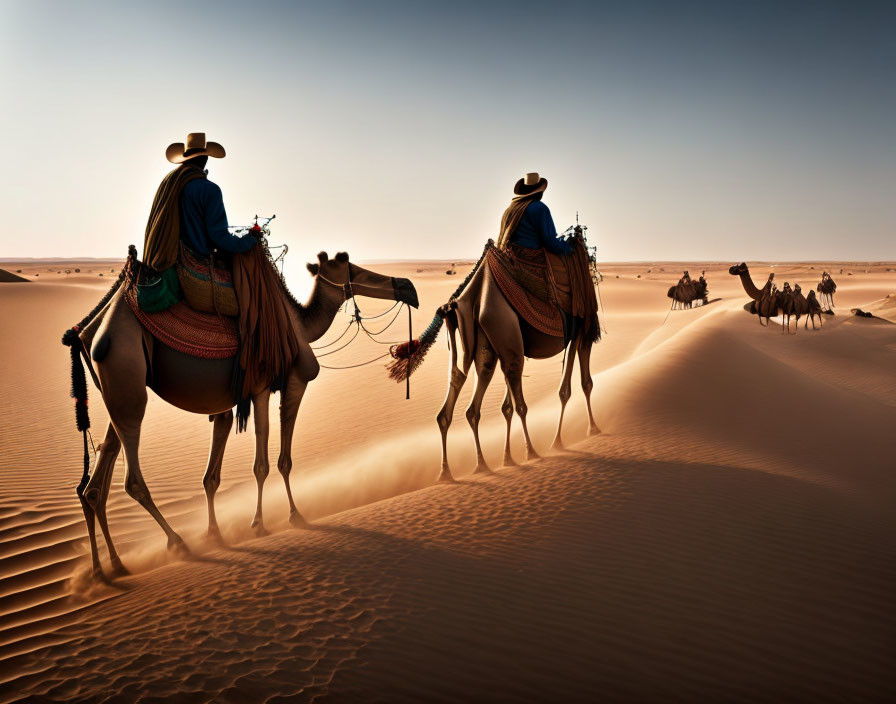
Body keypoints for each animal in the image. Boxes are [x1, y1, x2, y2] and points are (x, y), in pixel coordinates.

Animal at [68, 250, 418, 580]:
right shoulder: (279, 384)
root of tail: (86, 333)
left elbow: (212, 477)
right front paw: (277, 519)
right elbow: (271, 462)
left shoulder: (228, 404)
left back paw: (108, 568)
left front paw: (216, 534)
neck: (298, 324)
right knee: (131, 477)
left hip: (114, 391)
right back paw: (176, 543)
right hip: (126, 372)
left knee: (95, 482)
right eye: (351, 268)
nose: (408, 287)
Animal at [428, 250, 600, 482]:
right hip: (506, 334)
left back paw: (457, 469)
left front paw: (507, 457)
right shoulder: (581, 330)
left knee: (462, 389)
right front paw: (584, 432)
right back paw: (531, 452)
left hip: (484, 343)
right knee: (517, 400)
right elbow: (576, 386)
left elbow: (506, 406)